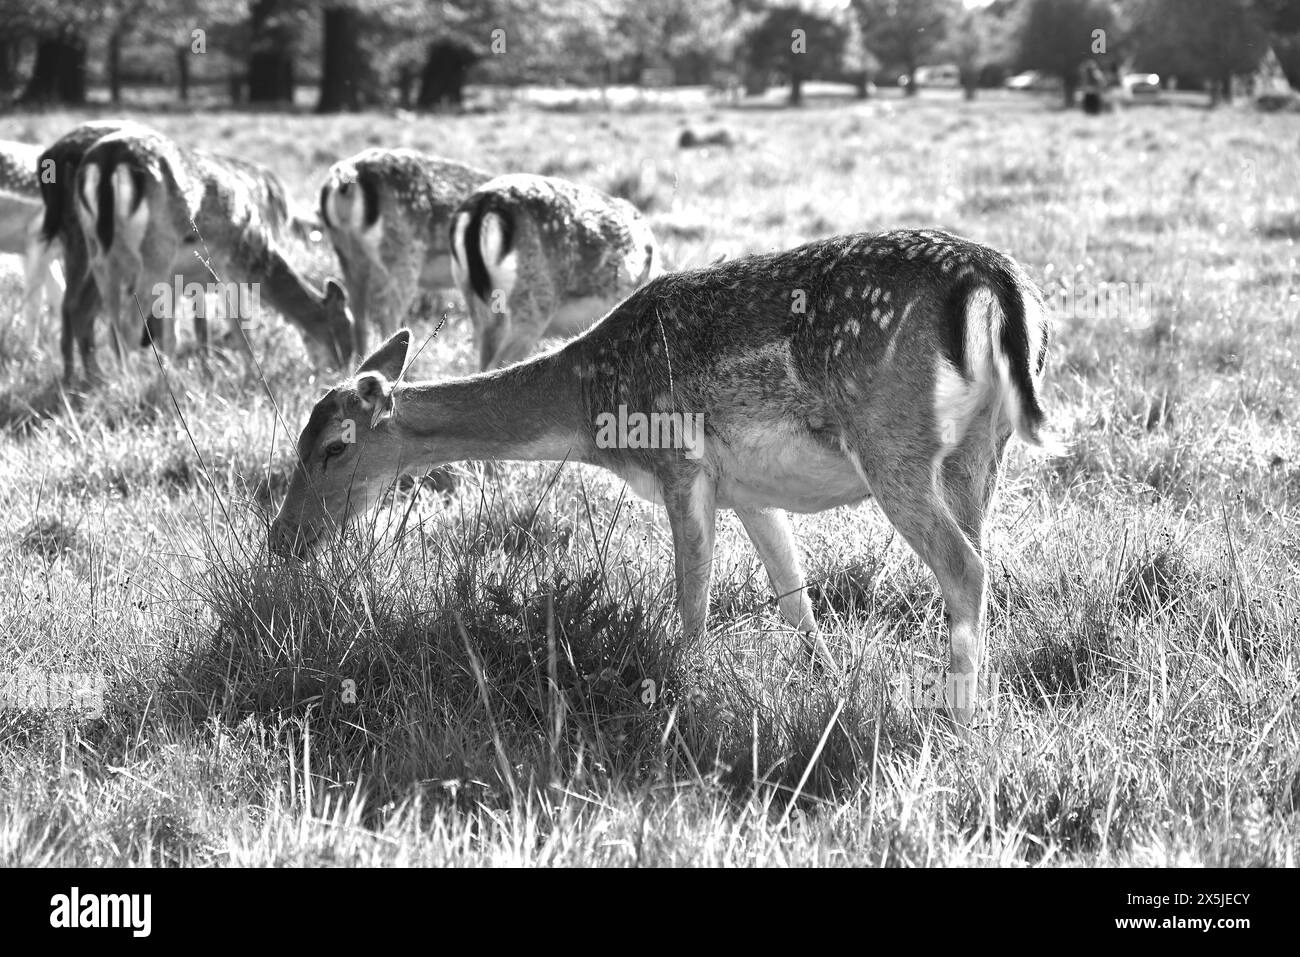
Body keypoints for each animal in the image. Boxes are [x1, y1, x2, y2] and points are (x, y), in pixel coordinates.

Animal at [63, 123, 353, 380]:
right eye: (343, 325)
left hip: (98, 251)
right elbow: (239, 324)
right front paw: (253, 375)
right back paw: (129, 380)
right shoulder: (227, 266)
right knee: (128, 324)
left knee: (105, 316)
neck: (255, 252)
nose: (341, 369)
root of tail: (108, 160)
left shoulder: (177, 281)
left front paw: (173, 374)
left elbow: (173, 334)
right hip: (156, 253)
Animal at [270, 229, 1055, 724]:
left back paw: (955, 719)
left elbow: (692, 606)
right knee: (979, 555)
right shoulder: (750, 491)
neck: (591, 405)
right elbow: (795, 598)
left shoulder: (679, 461)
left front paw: (684, 699)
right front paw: (829, 686)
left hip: (894, 446)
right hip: (979, 451)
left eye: (332, 447)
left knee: (965, 568)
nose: (281, 541)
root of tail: (996, 282)